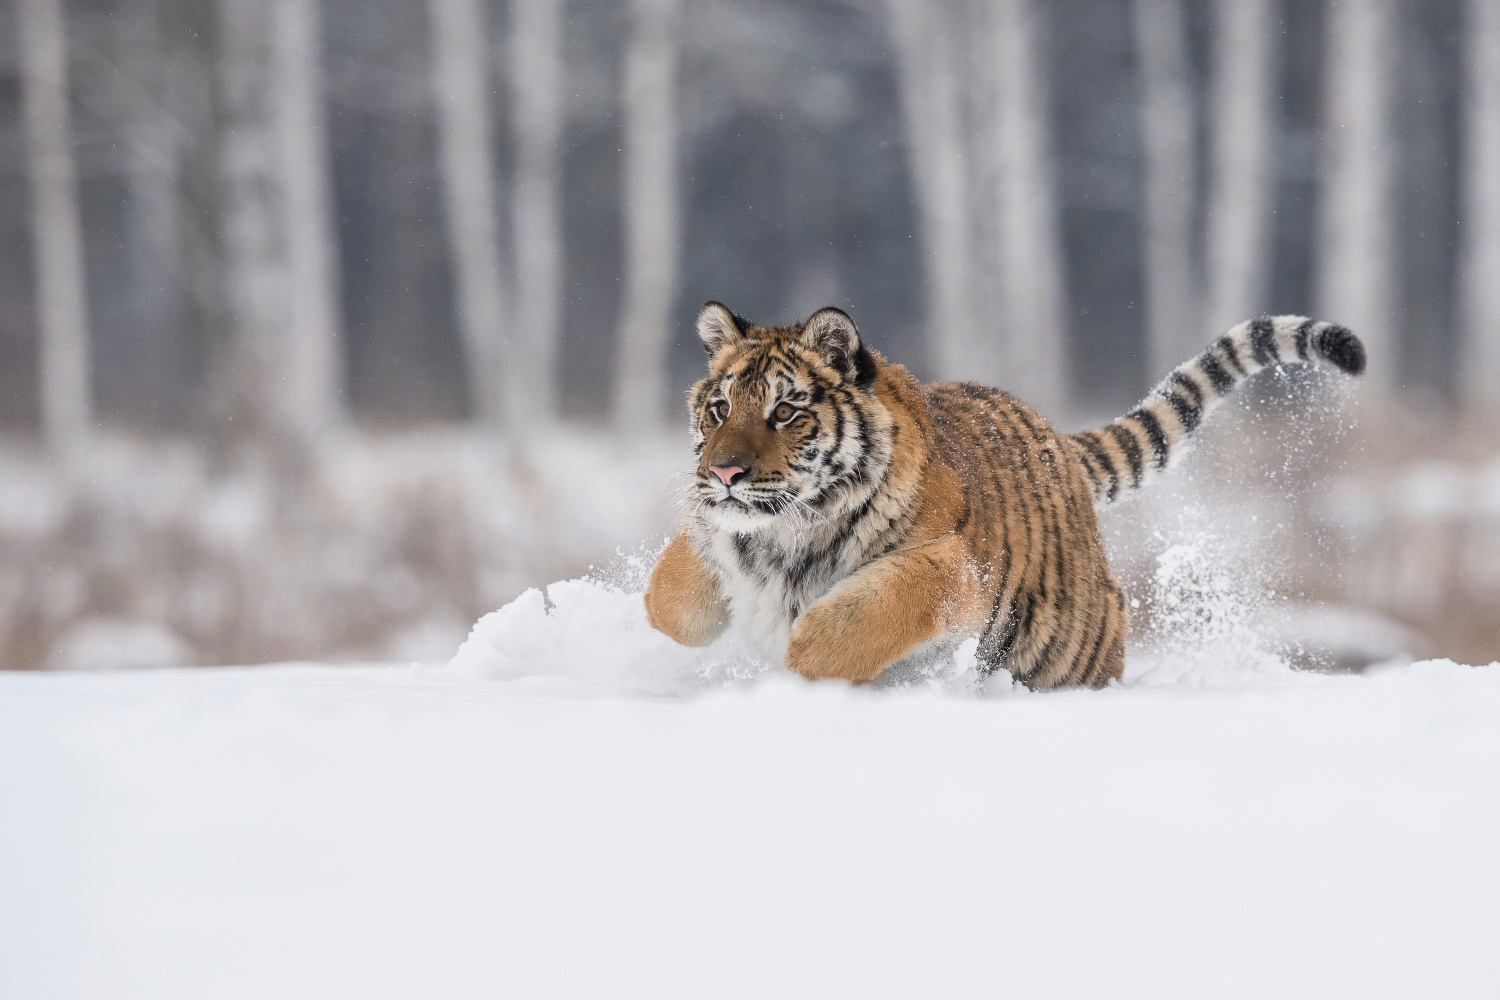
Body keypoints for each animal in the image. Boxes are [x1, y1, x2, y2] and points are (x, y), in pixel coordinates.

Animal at [639, 302, 1368, 689]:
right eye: (719, 409)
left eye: (786, 412)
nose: (724, 473)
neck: (784, 532)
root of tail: (1057, 440)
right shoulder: (717, 531)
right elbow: (668, 594)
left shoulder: (956, 564)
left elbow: (864, 609)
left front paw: (802, 659)